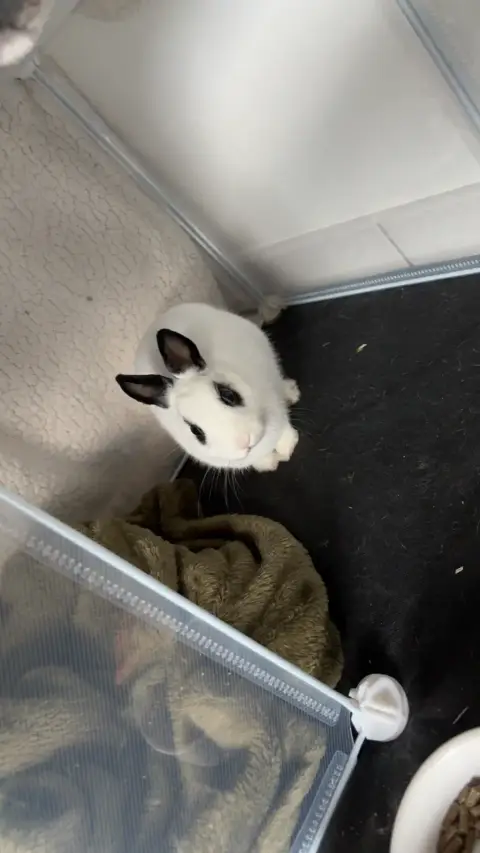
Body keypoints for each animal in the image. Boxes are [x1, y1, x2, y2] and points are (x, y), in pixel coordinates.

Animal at [116, 302, 300, 472]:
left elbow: (284, 427)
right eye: (196, 431)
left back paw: (291, 393)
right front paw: (269, 464)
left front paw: (287, 449)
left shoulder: (276, 408)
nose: (244, 442)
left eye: (228, 395)